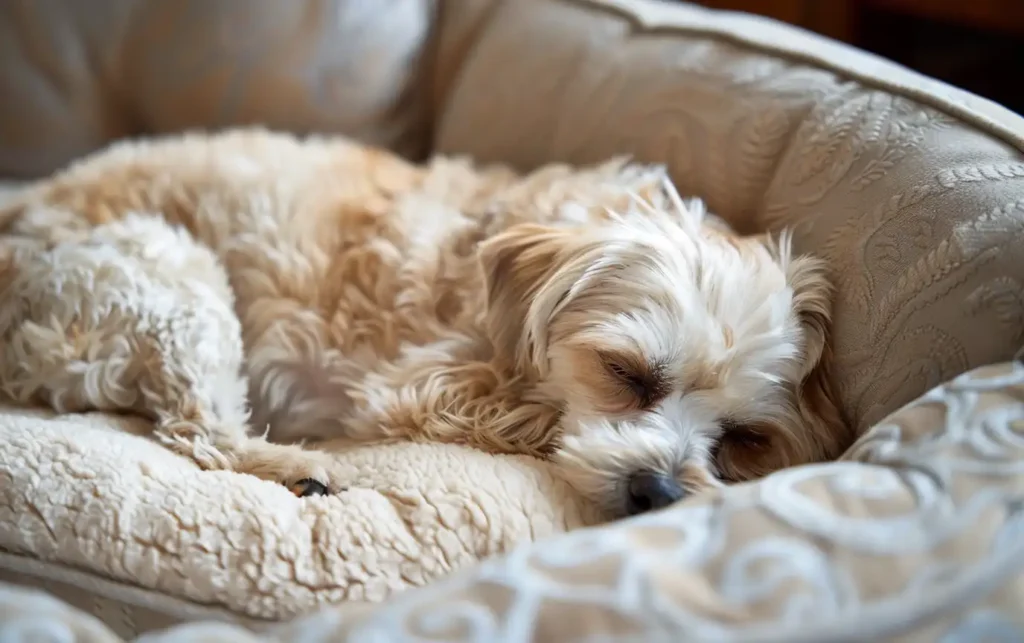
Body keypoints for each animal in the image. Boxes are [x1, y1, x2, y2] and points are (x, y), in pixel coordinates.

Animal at [0, 129, 847, 518]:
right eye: (626, 373)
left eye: (744, 436)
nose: (660, 491)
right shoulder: (413, 386)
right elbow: (525, 414)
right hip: (167, 273)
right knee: (196, 429)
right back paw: (297, 465)